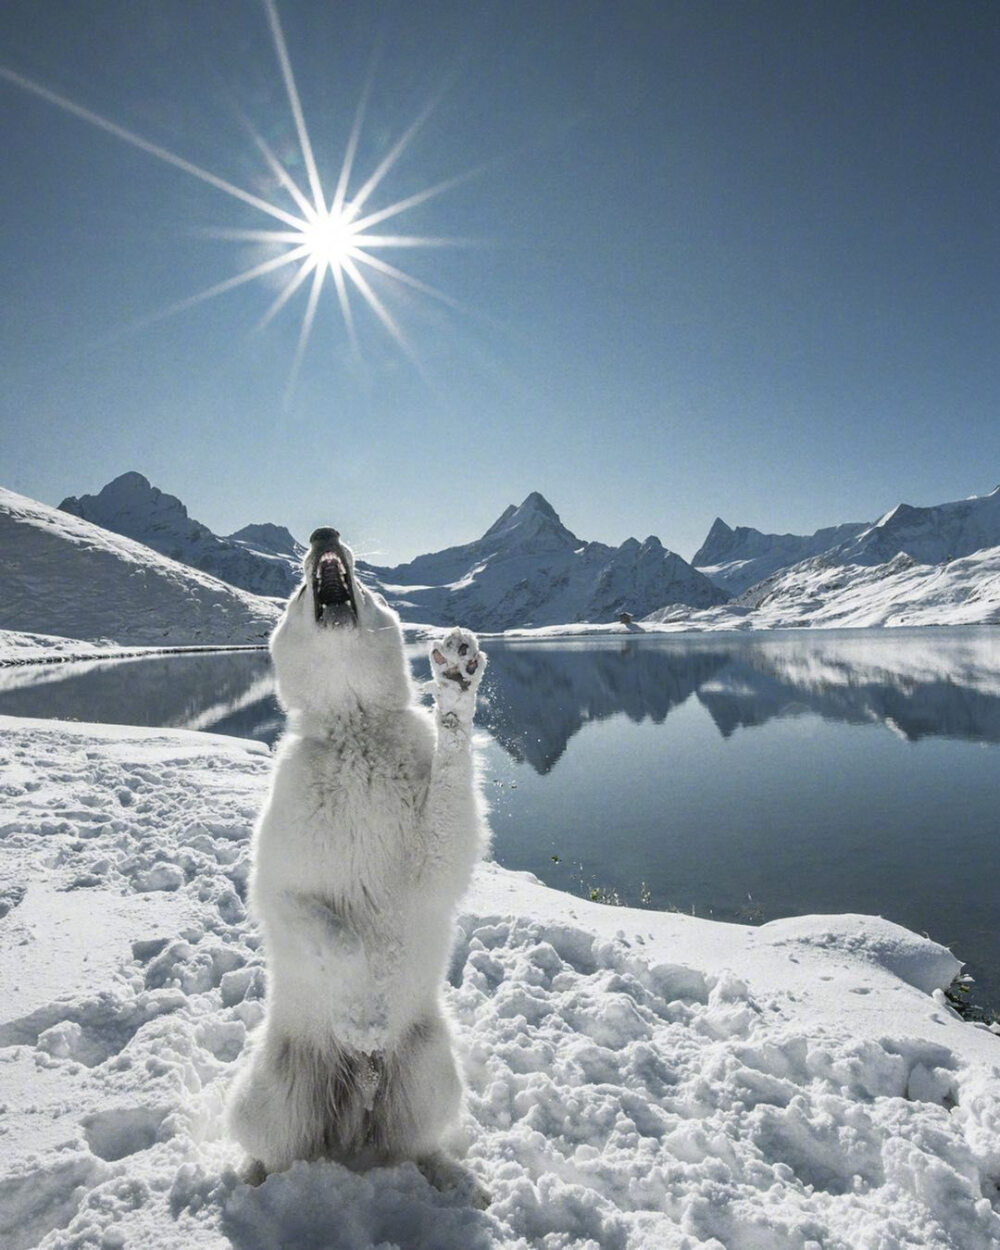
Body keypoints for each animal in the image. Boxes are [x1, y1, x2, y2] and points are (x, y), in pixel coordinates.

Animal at [227, 520, 492, 1200]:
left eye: (364, 584)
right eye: (299, 591)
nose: (325, 534)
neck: (354, 731)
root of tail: (360, 1095)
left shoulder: (433, 851)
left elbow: (450, 805)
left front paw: (455, 681)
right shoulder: (280, 882)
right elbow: (330, 933)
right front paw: (361, 1013)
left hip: (431, 1074)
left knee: (414, 1142)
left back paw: (447, 1177)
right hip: (269, 1093)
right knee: (274, 1148)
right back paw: (255, 1179)